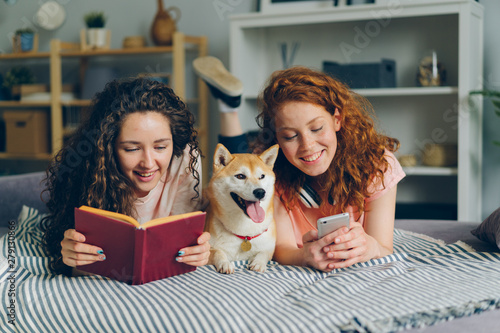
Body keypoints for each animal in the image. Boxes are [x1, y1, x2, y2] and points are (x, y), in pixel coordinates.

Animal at [204, 143, 282, 272]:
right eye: (240, 176)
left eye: (262, 176)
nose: (260, 192)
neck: (245, 233)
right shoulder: (206, 250)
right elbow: (217, 252)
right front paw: (225, 263)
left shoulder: (269, 249)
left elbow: (264, 253)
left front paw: (258, 262)